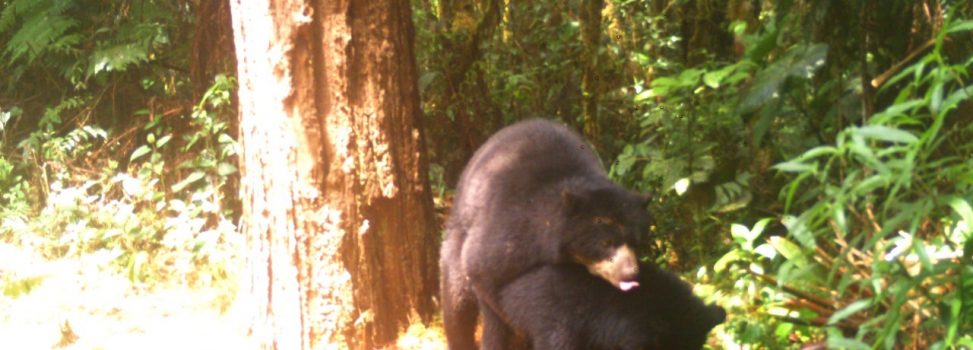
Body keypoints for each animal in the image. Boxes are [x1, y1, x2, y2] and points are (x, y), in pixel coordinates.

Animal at [442, 119, 652, 348]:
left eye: (636, 241)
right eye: (606, 243)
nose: (631, 273)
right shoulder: (509, 232)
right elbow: (482, 272)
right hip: (456, 236)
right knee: (456, 296)